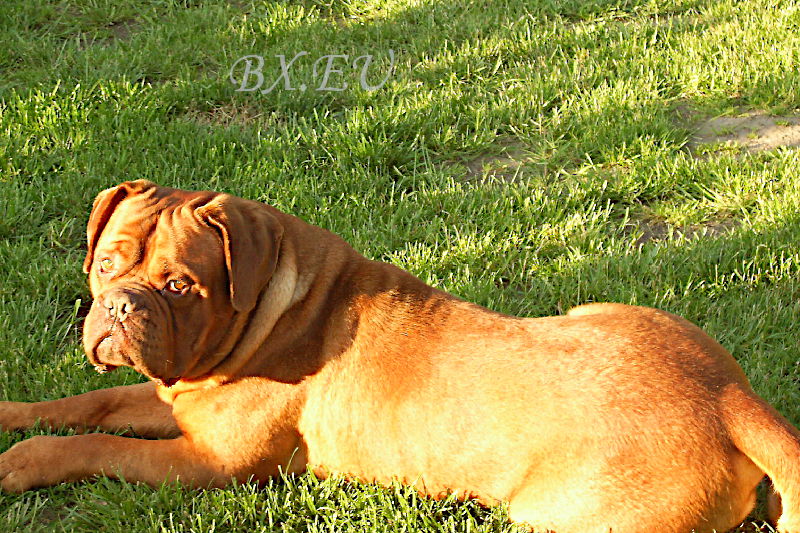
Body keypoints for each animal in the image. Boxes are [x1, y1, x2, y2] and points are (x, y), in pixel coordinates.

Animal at [1, 180, 800, 532]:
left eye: (178, 285)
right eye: (107, 264)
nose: (119, 307)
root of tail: (728, 396)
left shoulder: (210, 462)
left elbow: (91, 443)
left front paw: (20, 461)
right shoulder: (174, 396)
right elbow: (90, 402)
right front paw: (12, 411)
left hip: (564, 516)